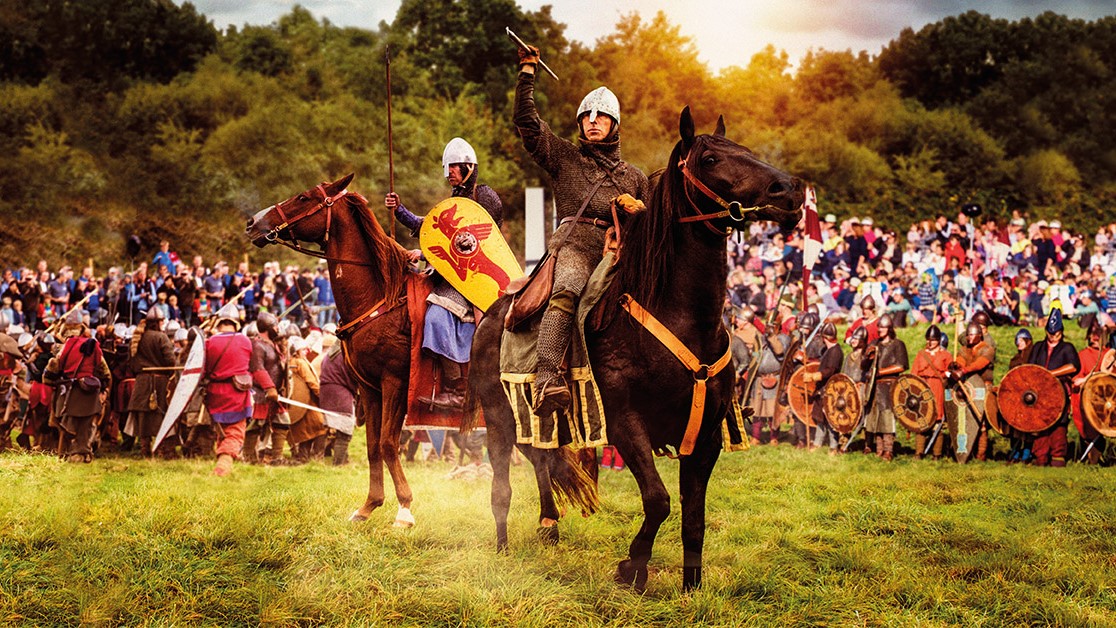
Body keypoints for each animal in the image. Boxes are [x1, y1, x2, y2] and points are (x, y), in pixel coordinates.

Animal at [468, 105, 803, 593]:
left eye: (744, 150)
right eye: (710, 160)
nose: (791, 190)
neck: (680, 315)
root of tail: (494, 312)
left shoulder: (704, 438)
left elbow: (694, 519)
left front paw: (691, 587)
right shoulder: (626, 424)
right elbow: (659, 500)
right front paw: (632, 569)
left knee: (542, 459)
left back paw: (549, 525)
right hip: (498, 416)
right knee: (503, 483)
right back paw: (502, 549)